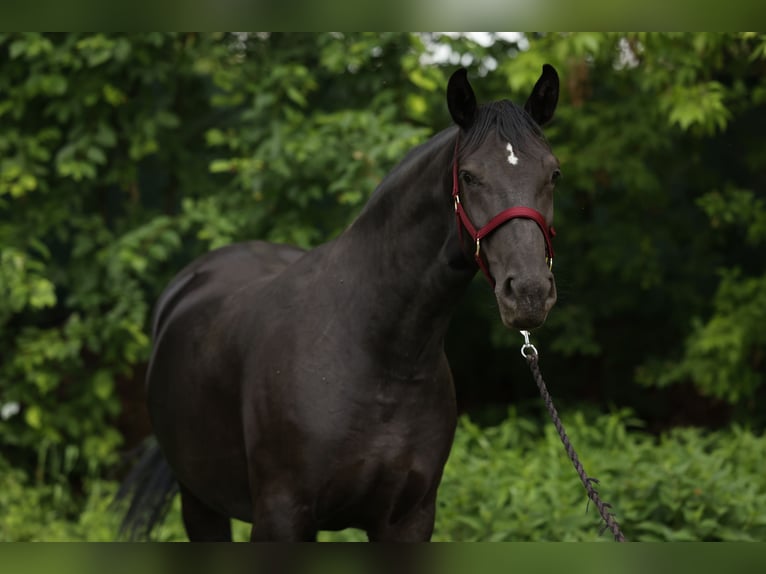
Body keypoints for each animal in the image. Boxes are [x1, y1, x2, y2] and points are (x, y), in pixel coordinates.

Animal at [118, 65, 560, 541]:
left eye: (553, 174)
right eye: (470, 176)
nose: (529, 292)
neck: (381, 357)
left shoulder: (409, 519)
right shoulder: (282, 518)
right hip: (200, 503)